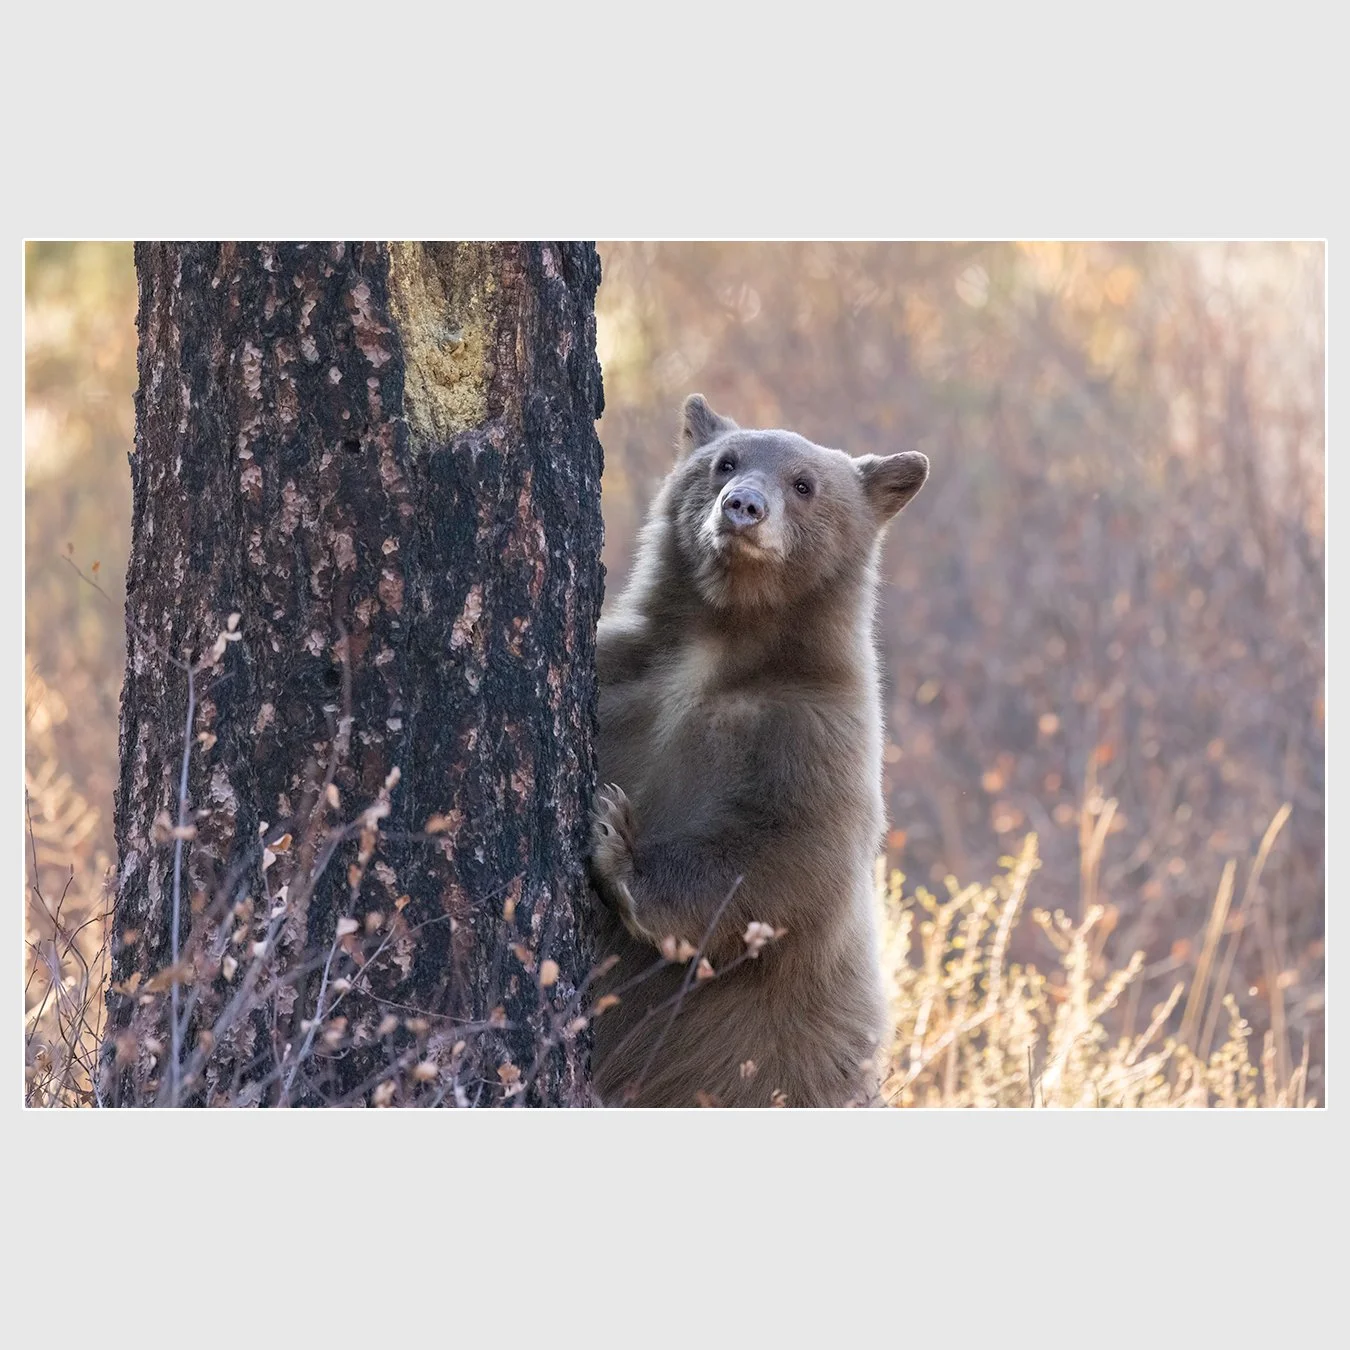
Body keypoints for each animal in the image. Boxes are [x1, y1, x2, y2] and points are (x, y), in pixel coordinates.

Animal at [587, 394, 929, 1107]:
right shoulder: (621, 677)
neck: (726, 638)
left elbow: (786, 852)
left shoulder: (816, 732)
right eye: (724, 461)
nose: (742, 505)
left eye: (804, 484)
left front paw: (617, 844)